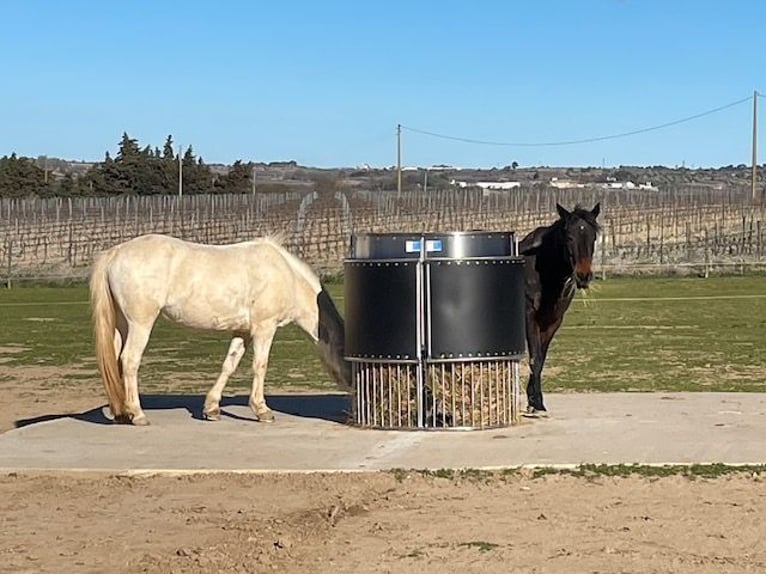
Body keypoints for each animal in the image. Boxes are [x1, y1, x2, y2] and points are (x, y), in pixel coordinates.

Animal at [89, 233, 350, 426]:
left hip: (122, 324)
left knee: (115, 361)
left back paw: (122, 413)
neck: (287, 276)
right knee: (129, 361)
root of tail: (115, 252)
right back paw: (137, 414)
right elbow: (260, 366)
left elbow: (229, 364)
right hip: (140, 323)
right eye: (343, 352)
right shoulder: (264, 328)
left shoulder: (243, 331)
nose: (351, 388)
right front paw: (262, 410)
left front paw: (212, 408)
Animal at [518, 202, 601, 416]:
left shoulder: (552, 323)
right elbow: (535, 358)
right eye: (569, 237)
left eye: (593, 237)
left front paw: (535, 401)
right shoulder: (529, 319)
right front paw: (535, 403)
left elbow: (541, 359)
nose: (583, 276)